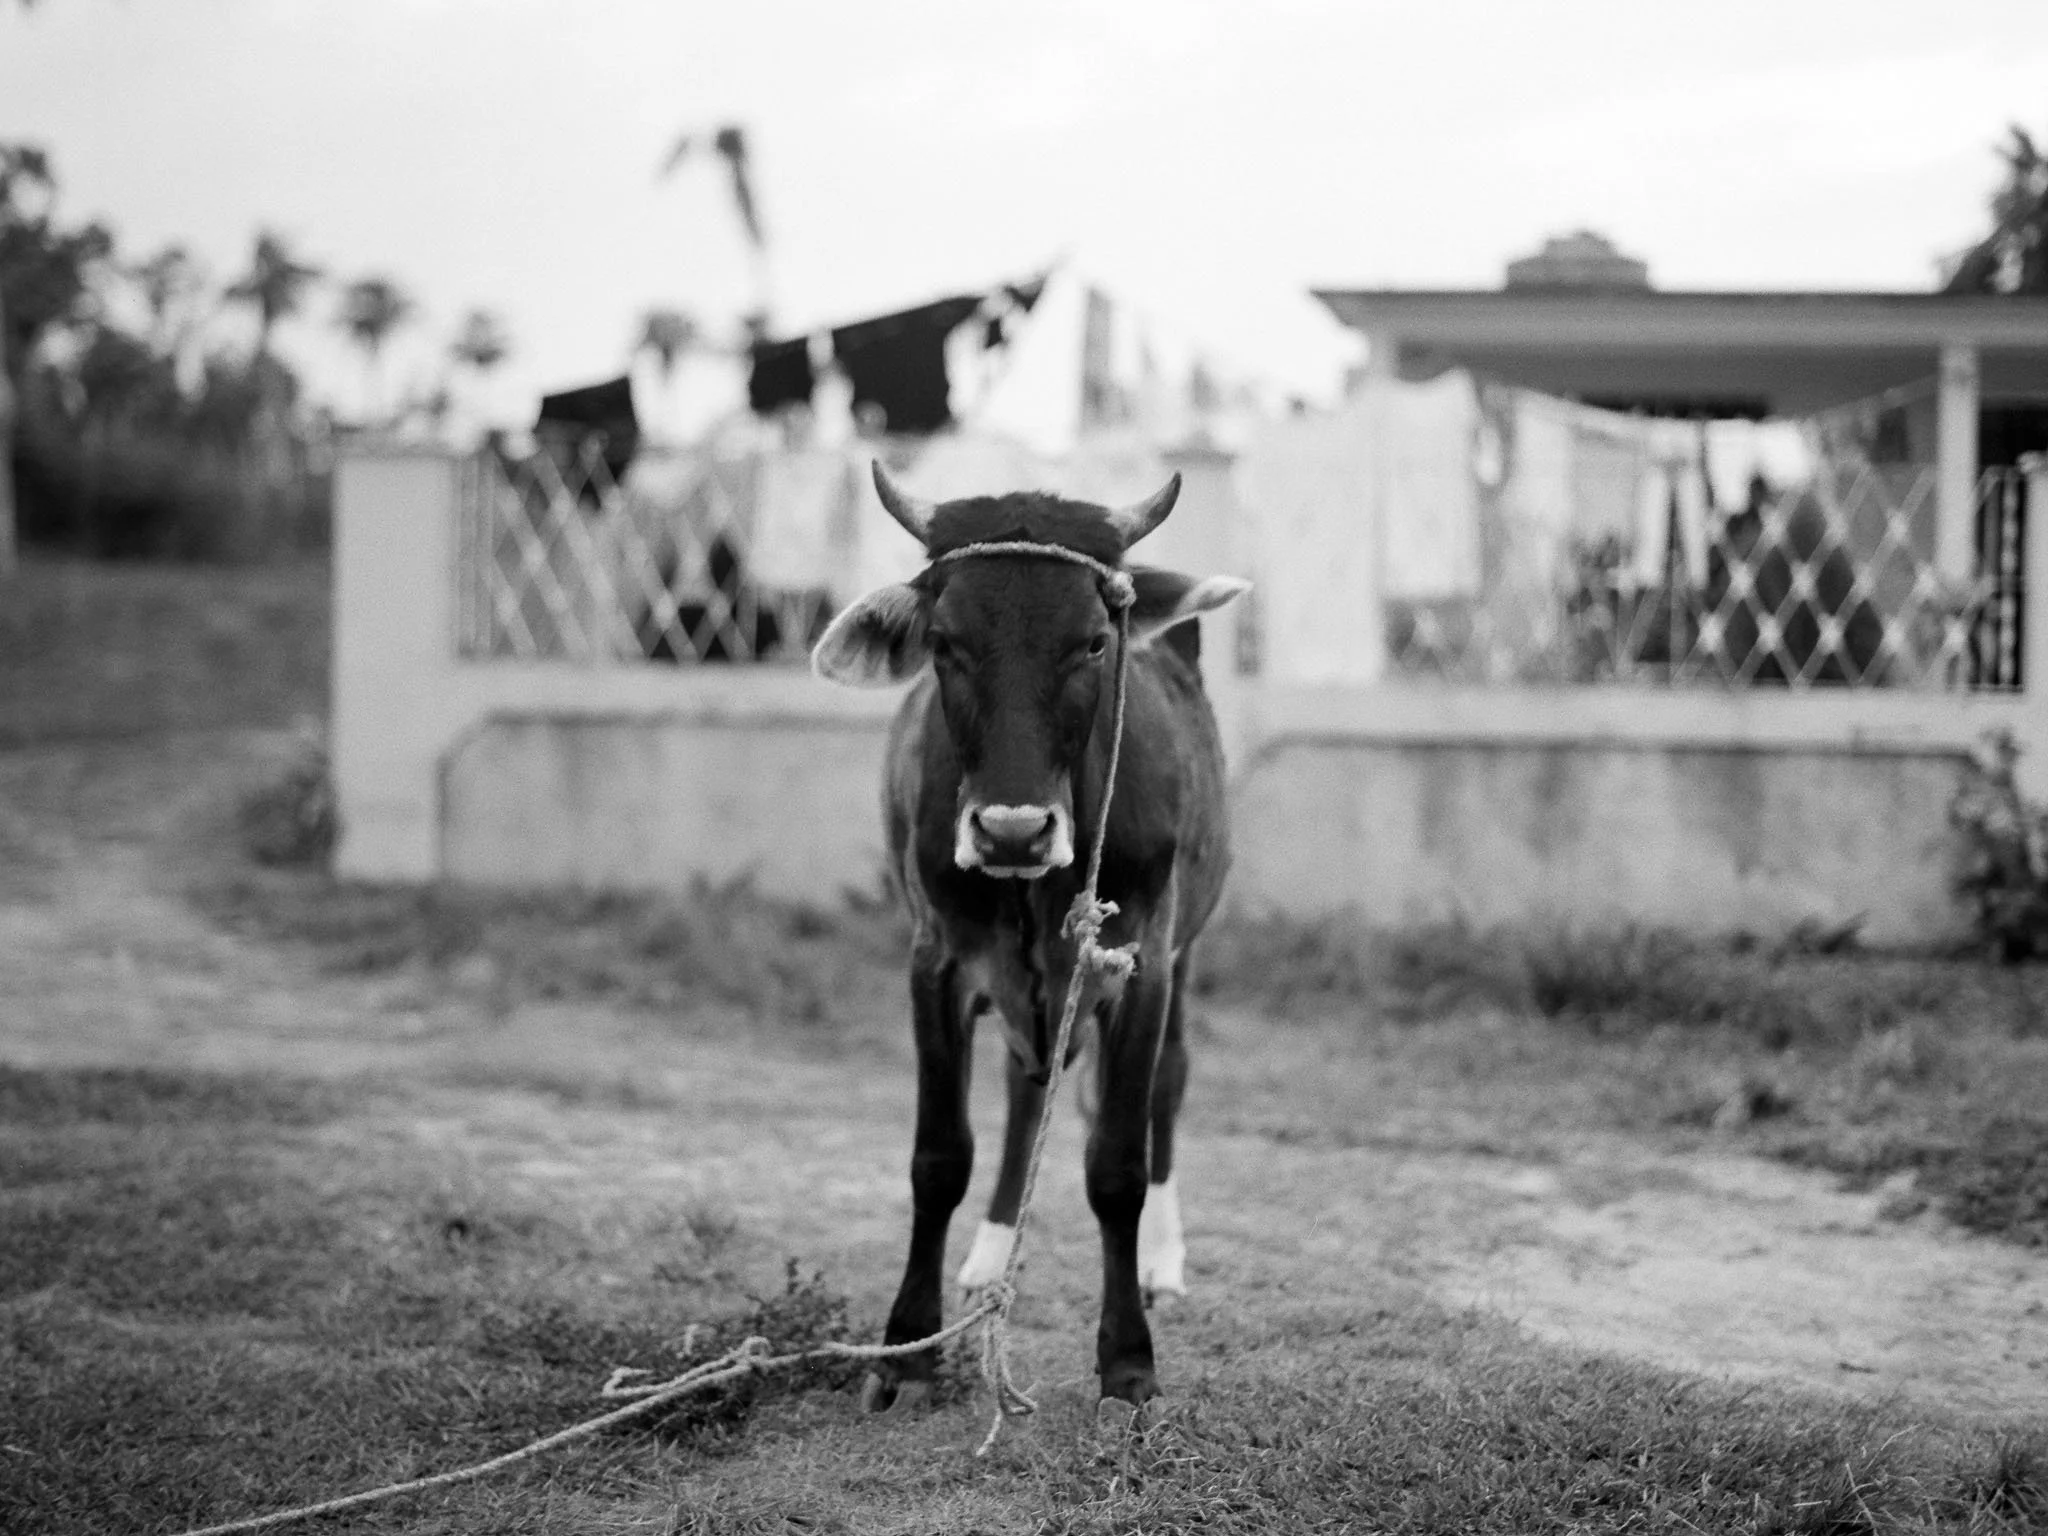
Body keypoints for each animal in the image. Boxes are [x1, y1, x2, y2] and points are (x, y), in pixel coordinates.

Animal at [810, 462, 1249, 1413]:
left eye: (1092, 642)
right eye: (944, 641)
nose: (1012, 831)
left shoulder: (1143, 966)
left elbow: (1117, 1164)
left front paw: (1129, 1360)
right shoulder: (935, 961)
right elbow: (939, 1157)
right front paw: (905, 1347)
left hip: (1185, 953)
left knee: (1168, 1086)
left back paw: (1162, 1259)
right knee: (1023, 1086)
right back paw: (990, 1252)